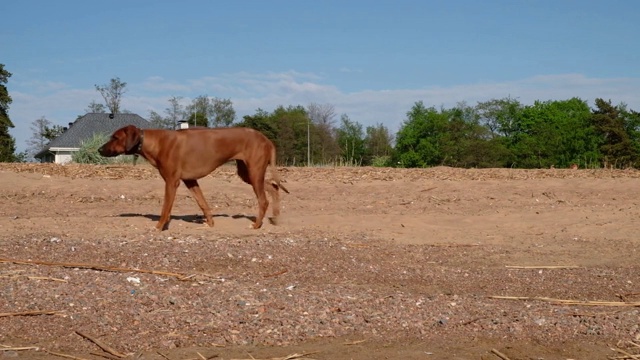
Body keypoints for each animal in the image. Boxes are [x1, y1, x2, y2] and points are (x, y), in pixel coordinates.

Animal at [99, 124, 288, 231]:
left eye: (115, 137)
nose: (99, 149)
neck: (155, 142)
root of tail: (266, 139)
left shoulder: (171, 182)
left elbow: (165, 208)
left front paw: (159, 227)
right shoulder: (190, 181)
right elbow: (203, 203)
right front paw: (210, 223)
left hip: (254, 172)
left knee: (263, 200)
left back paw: (256, 225)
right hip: (247, 174)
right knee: (273, 187)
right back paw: (276, 216)